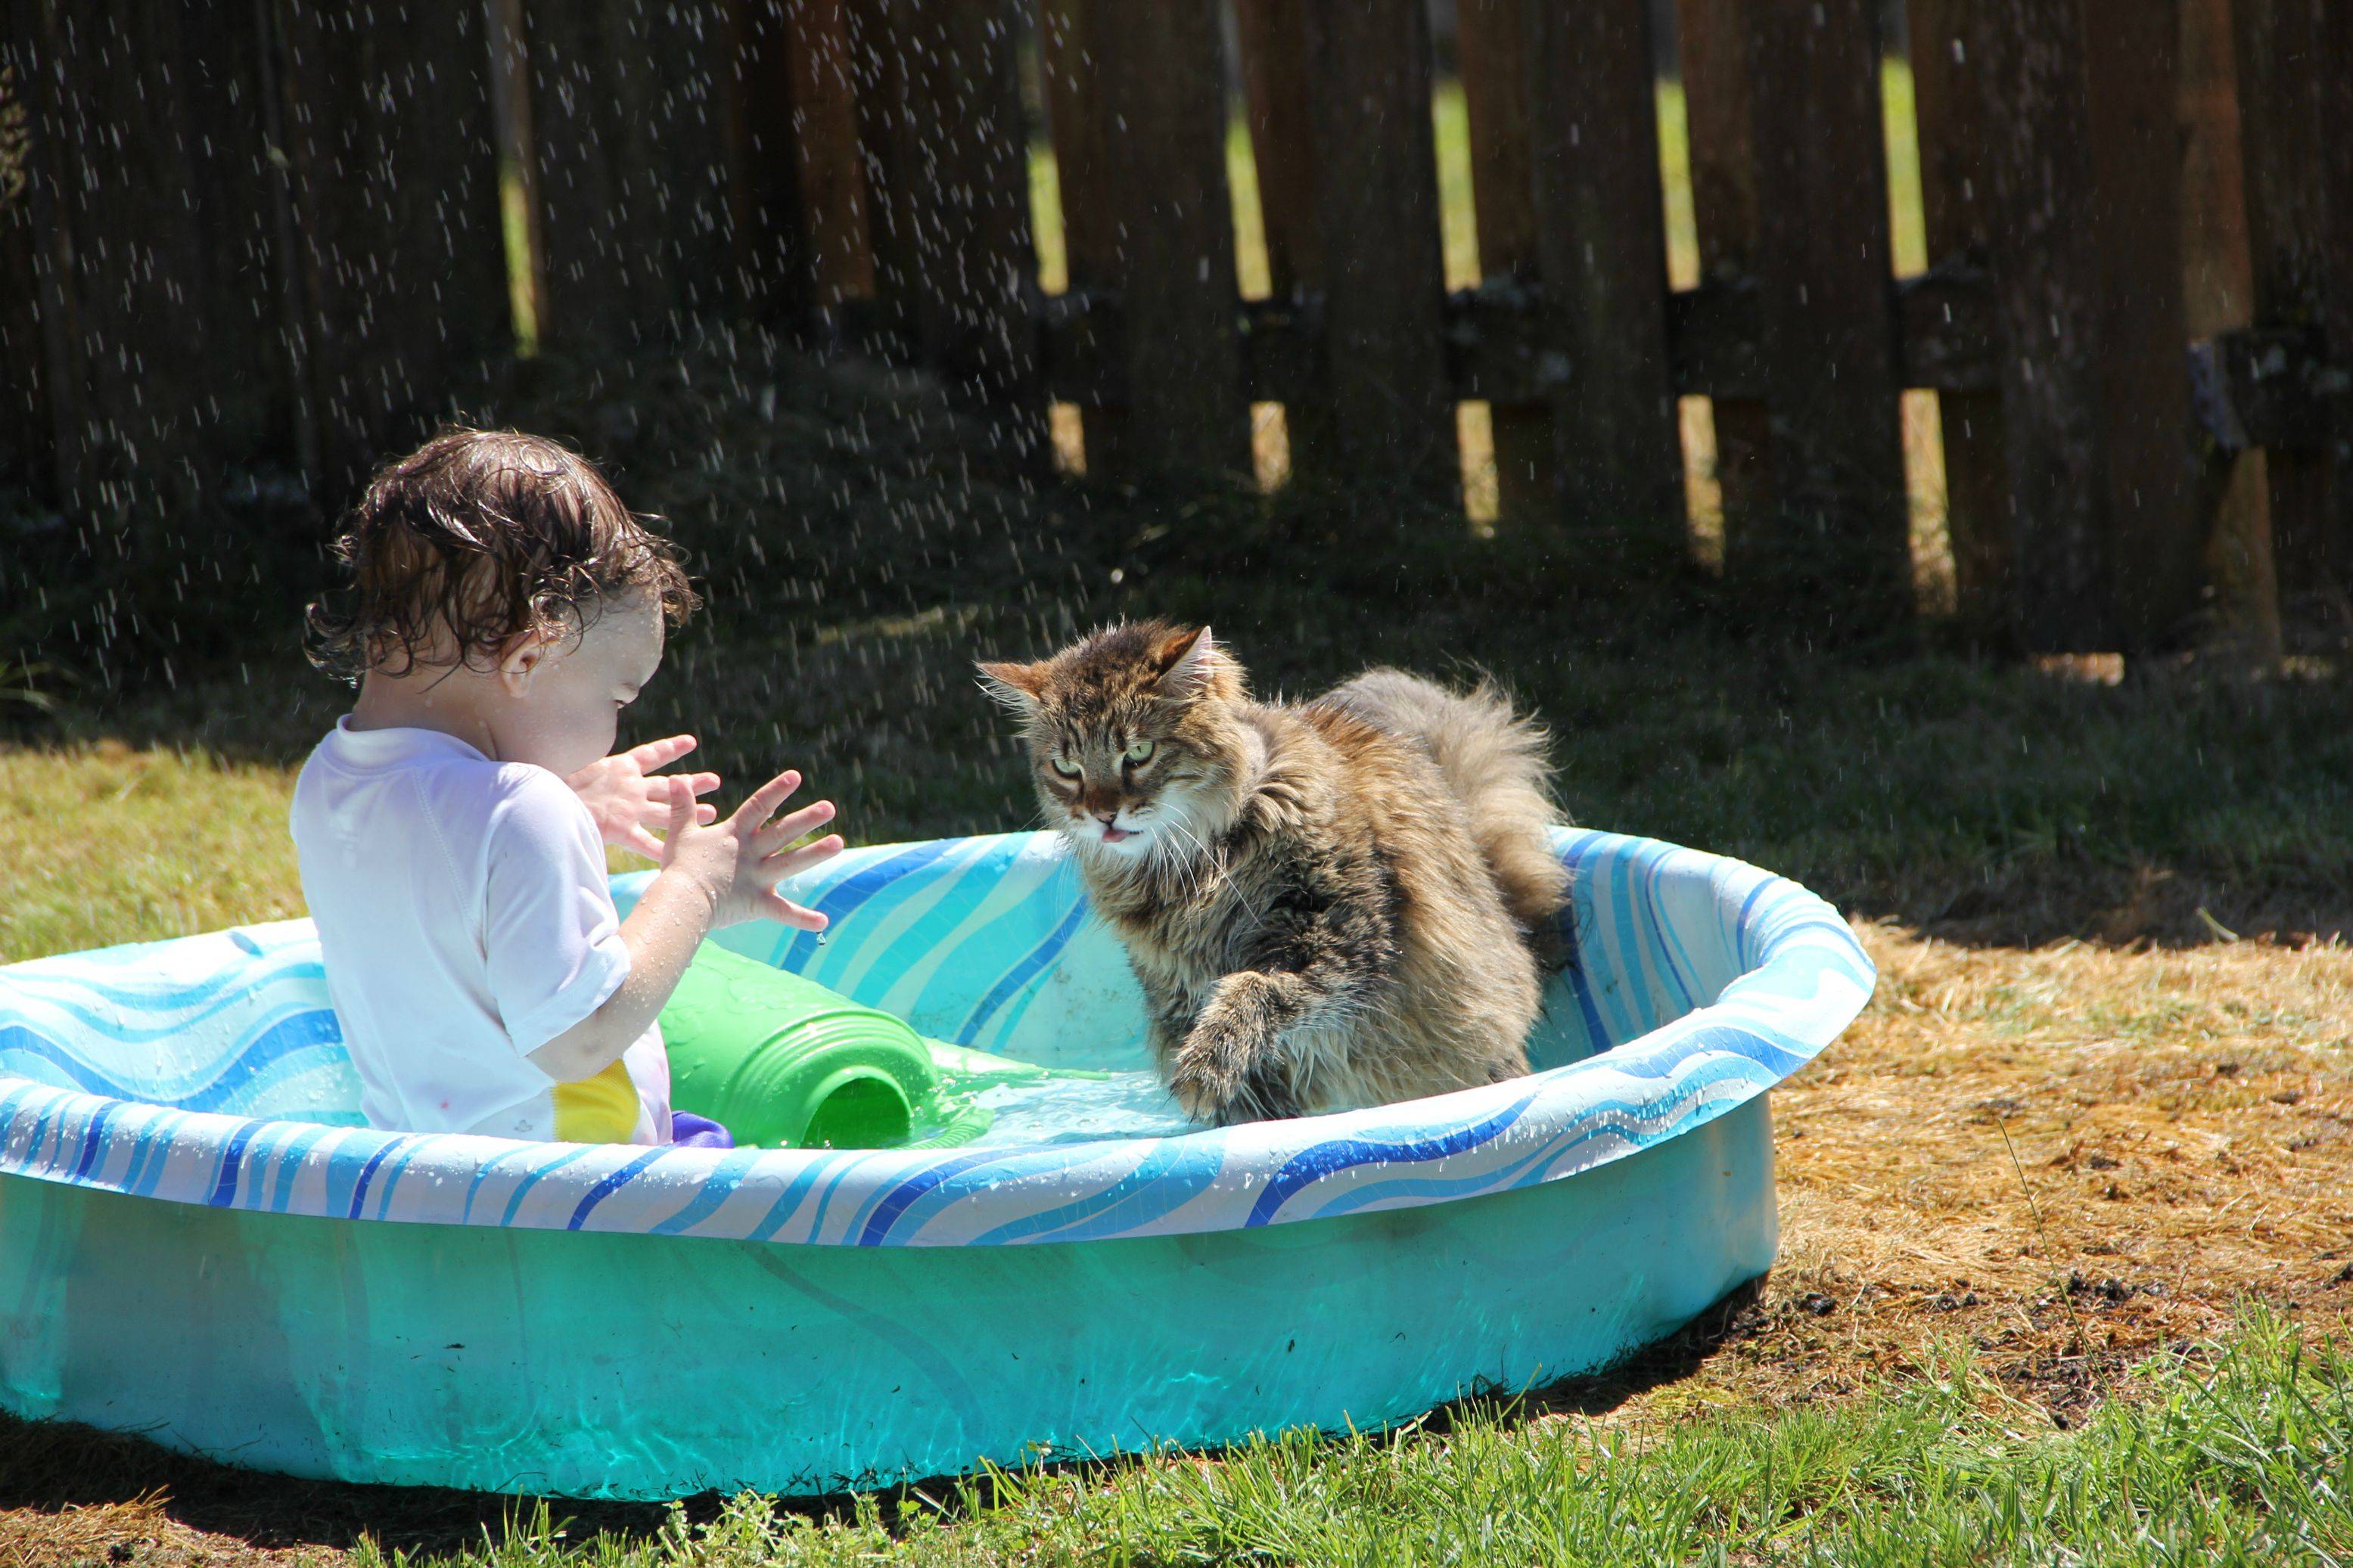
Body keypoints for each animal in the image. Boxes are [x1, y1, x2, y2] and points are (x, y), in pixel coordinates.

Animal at [974, 620, 1562, 1123]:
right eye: (1066, 769)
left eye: (1138, 753)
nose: (1102, 815)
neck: (1190, 870)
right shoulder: (1176, 994)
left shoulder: (1342, 942)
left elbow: (1253, 991)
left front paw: (1205, 1067)